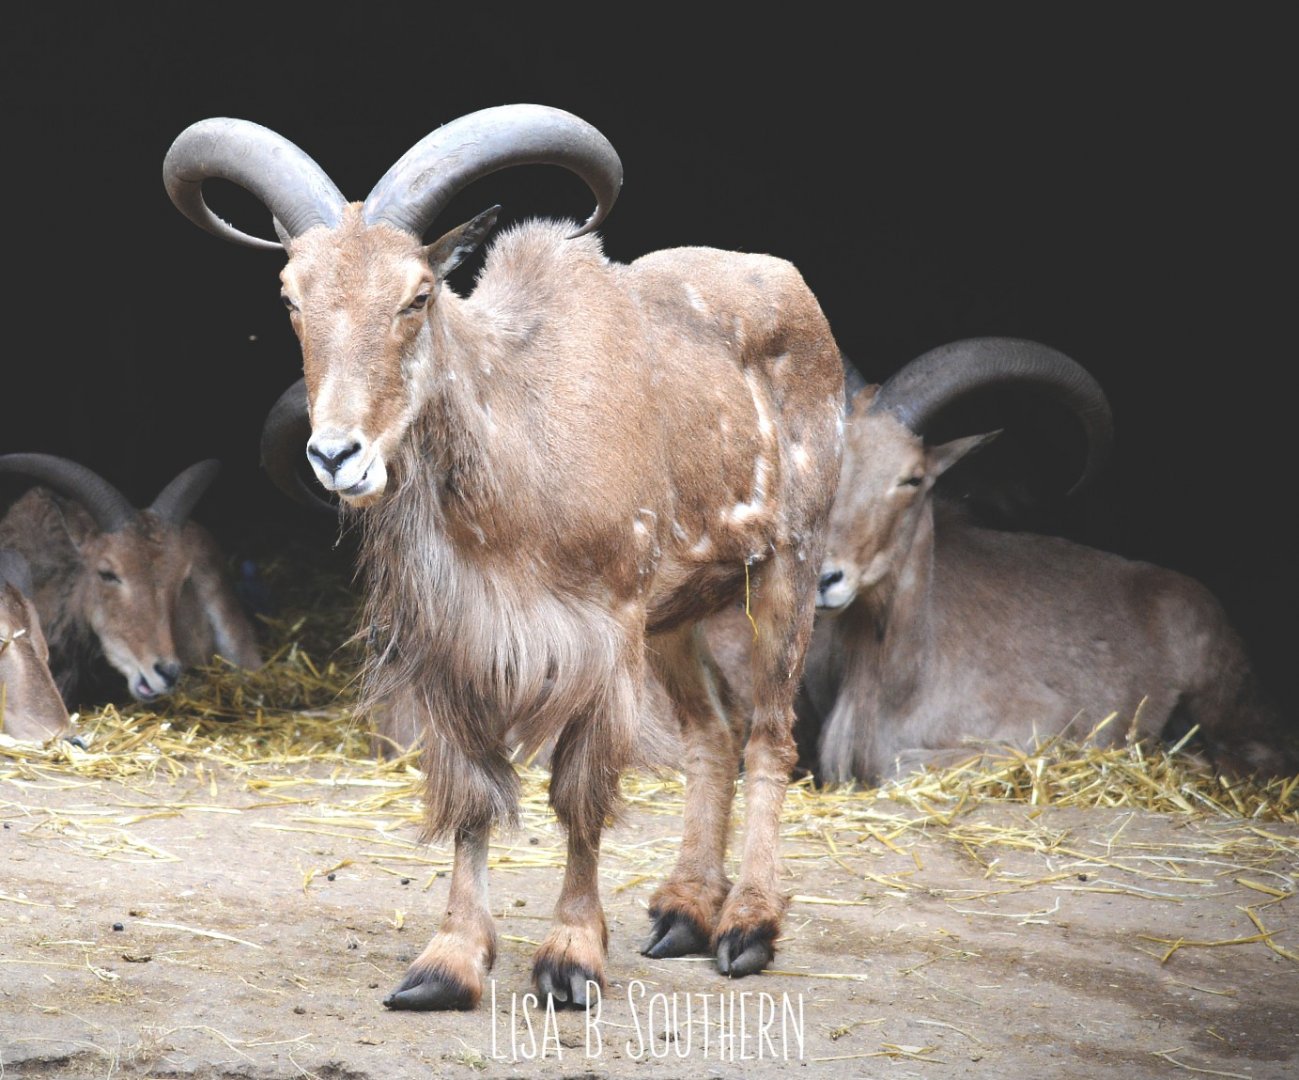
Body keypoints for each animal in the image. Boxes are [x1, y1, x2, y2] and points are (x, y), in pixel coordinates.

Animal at [164, 103, 844, 1010]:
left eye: (417, 295)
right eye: (290, 297)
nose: (336, 456)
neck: (516, 456)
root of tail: (794, 288)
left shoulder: (601, 637)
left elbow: (578, 798)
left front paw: (571, 957)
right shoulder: (461, 651)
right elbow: (473, 797)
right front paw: (448, 963)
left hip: (785, 566)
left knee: (769, 735)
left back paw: (747, 926)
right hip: (675, 612)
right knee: (710, 736)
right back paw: (682, 911)